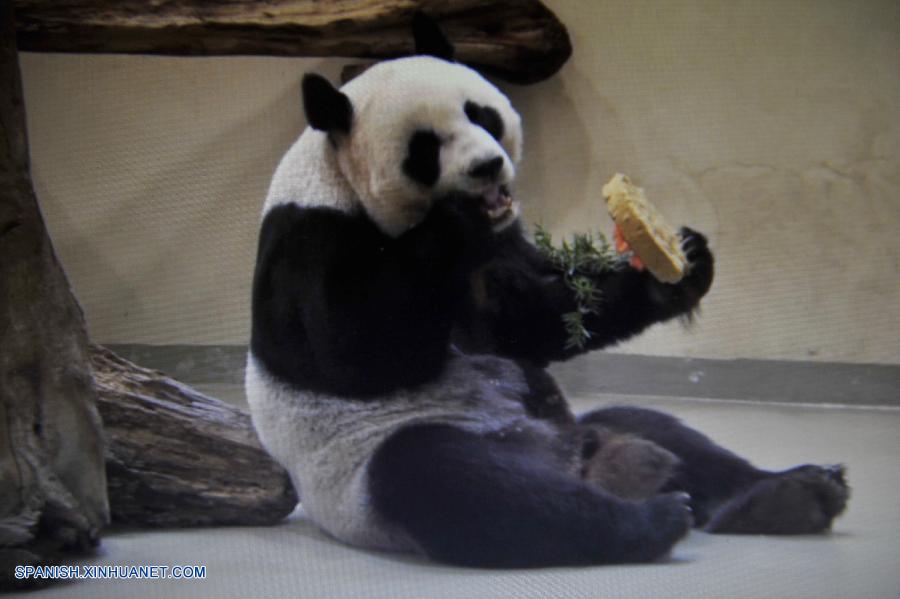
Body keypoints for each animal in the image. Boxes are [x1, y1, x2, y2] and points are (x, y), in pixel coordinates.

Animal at [243, 14, 848, 568]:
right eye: (426, 147)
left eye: (478, 113)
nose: (487, 166)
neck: (343, 181)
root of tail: (574, 464)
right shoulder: (312, 242)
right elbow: (355, 350)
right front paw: (455, 218)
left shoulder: (495, 251)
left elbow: (528, 323)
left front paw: (681, 264)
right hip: (376, 473)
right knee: (461, 485)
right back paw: (651, 520)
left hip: (584, 427)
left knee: (656, 428)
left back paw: (790, 494)